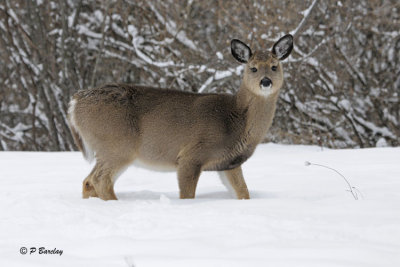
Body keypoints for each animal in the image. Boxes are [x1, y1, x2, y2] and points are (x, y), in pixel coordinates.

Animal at [68, 34, 294, 201]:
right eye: (252, 68)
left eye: (274, 66)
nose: (266, 81)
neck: (235, 120)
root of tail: (74, 102)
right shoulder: (192, 155)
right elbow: (187, 195)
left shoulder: (229, 163)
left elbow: (243, 192)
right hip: (117, 145)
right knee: (100, 180)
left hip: (108, 149)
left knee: (88, 181)